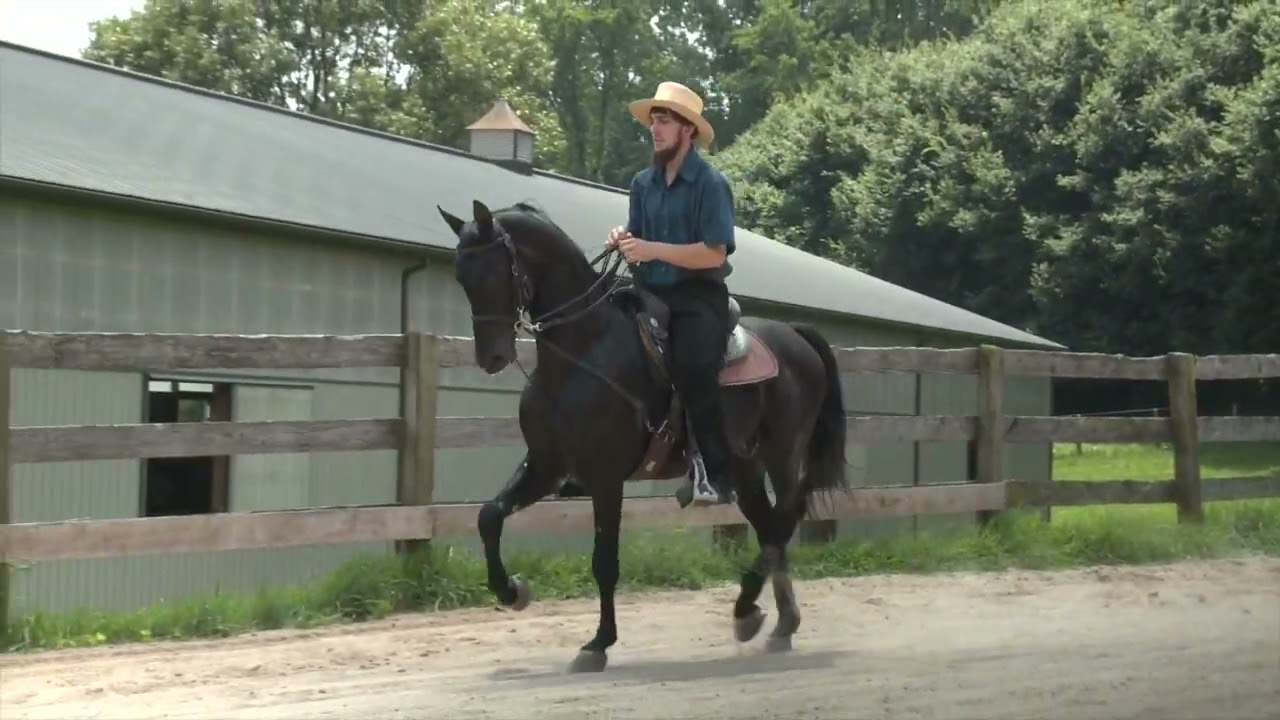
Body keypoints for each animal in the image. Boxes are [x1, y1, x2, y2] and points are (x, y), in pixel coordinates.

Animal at [435, 199, 849, 673]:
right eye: (461, 276)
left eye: (495, 272)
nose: (492, 357)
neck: (584, 349)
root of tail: (796, 335)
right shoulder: (545, 465)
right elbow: (489, 516)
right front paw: (512, 591)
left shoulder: (605, 478)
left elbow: (604, 561)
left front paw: (597, 644)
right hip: (744, 467)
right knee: (769, 527)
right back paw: (774, 621)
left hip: (782, 452)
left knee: (786, 516)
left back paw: (751, 609)